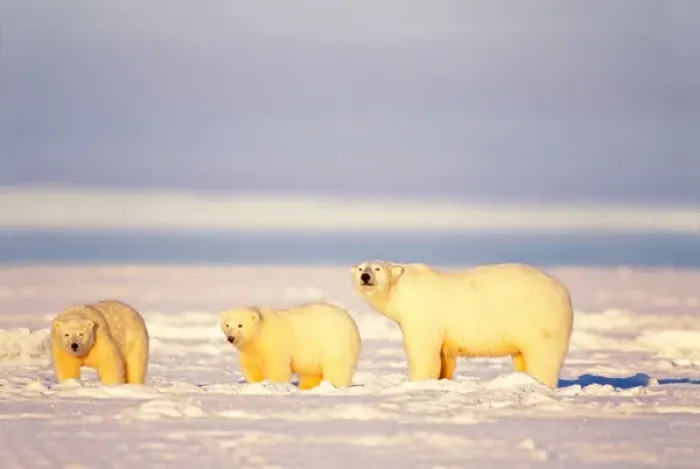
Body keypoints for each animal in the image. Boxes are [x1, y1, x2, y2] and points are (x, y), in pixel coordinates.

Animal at [220, 302, 362, 390]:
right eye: (227, 325)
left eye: (240, 325)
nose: (231, 338)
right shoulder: (249, 351)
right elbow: (251, 368)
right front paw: (257, 384)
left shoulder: (274, 344)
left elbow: (277, 367)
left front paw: (276, 385)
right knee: (311, 373)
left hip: (334, 344)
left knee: (337, 369)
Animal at [351, 260, 574, 388]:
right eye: (361, 268)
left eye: (377, 268)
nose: (365, 276)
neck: (402, 290)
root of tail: (563, 291)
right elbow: (445, 357)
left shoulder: (422, 315)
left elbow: (422, 351)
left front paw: (417, 381)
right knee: (521, 356)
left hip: (539, 320)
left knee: (543, 356)